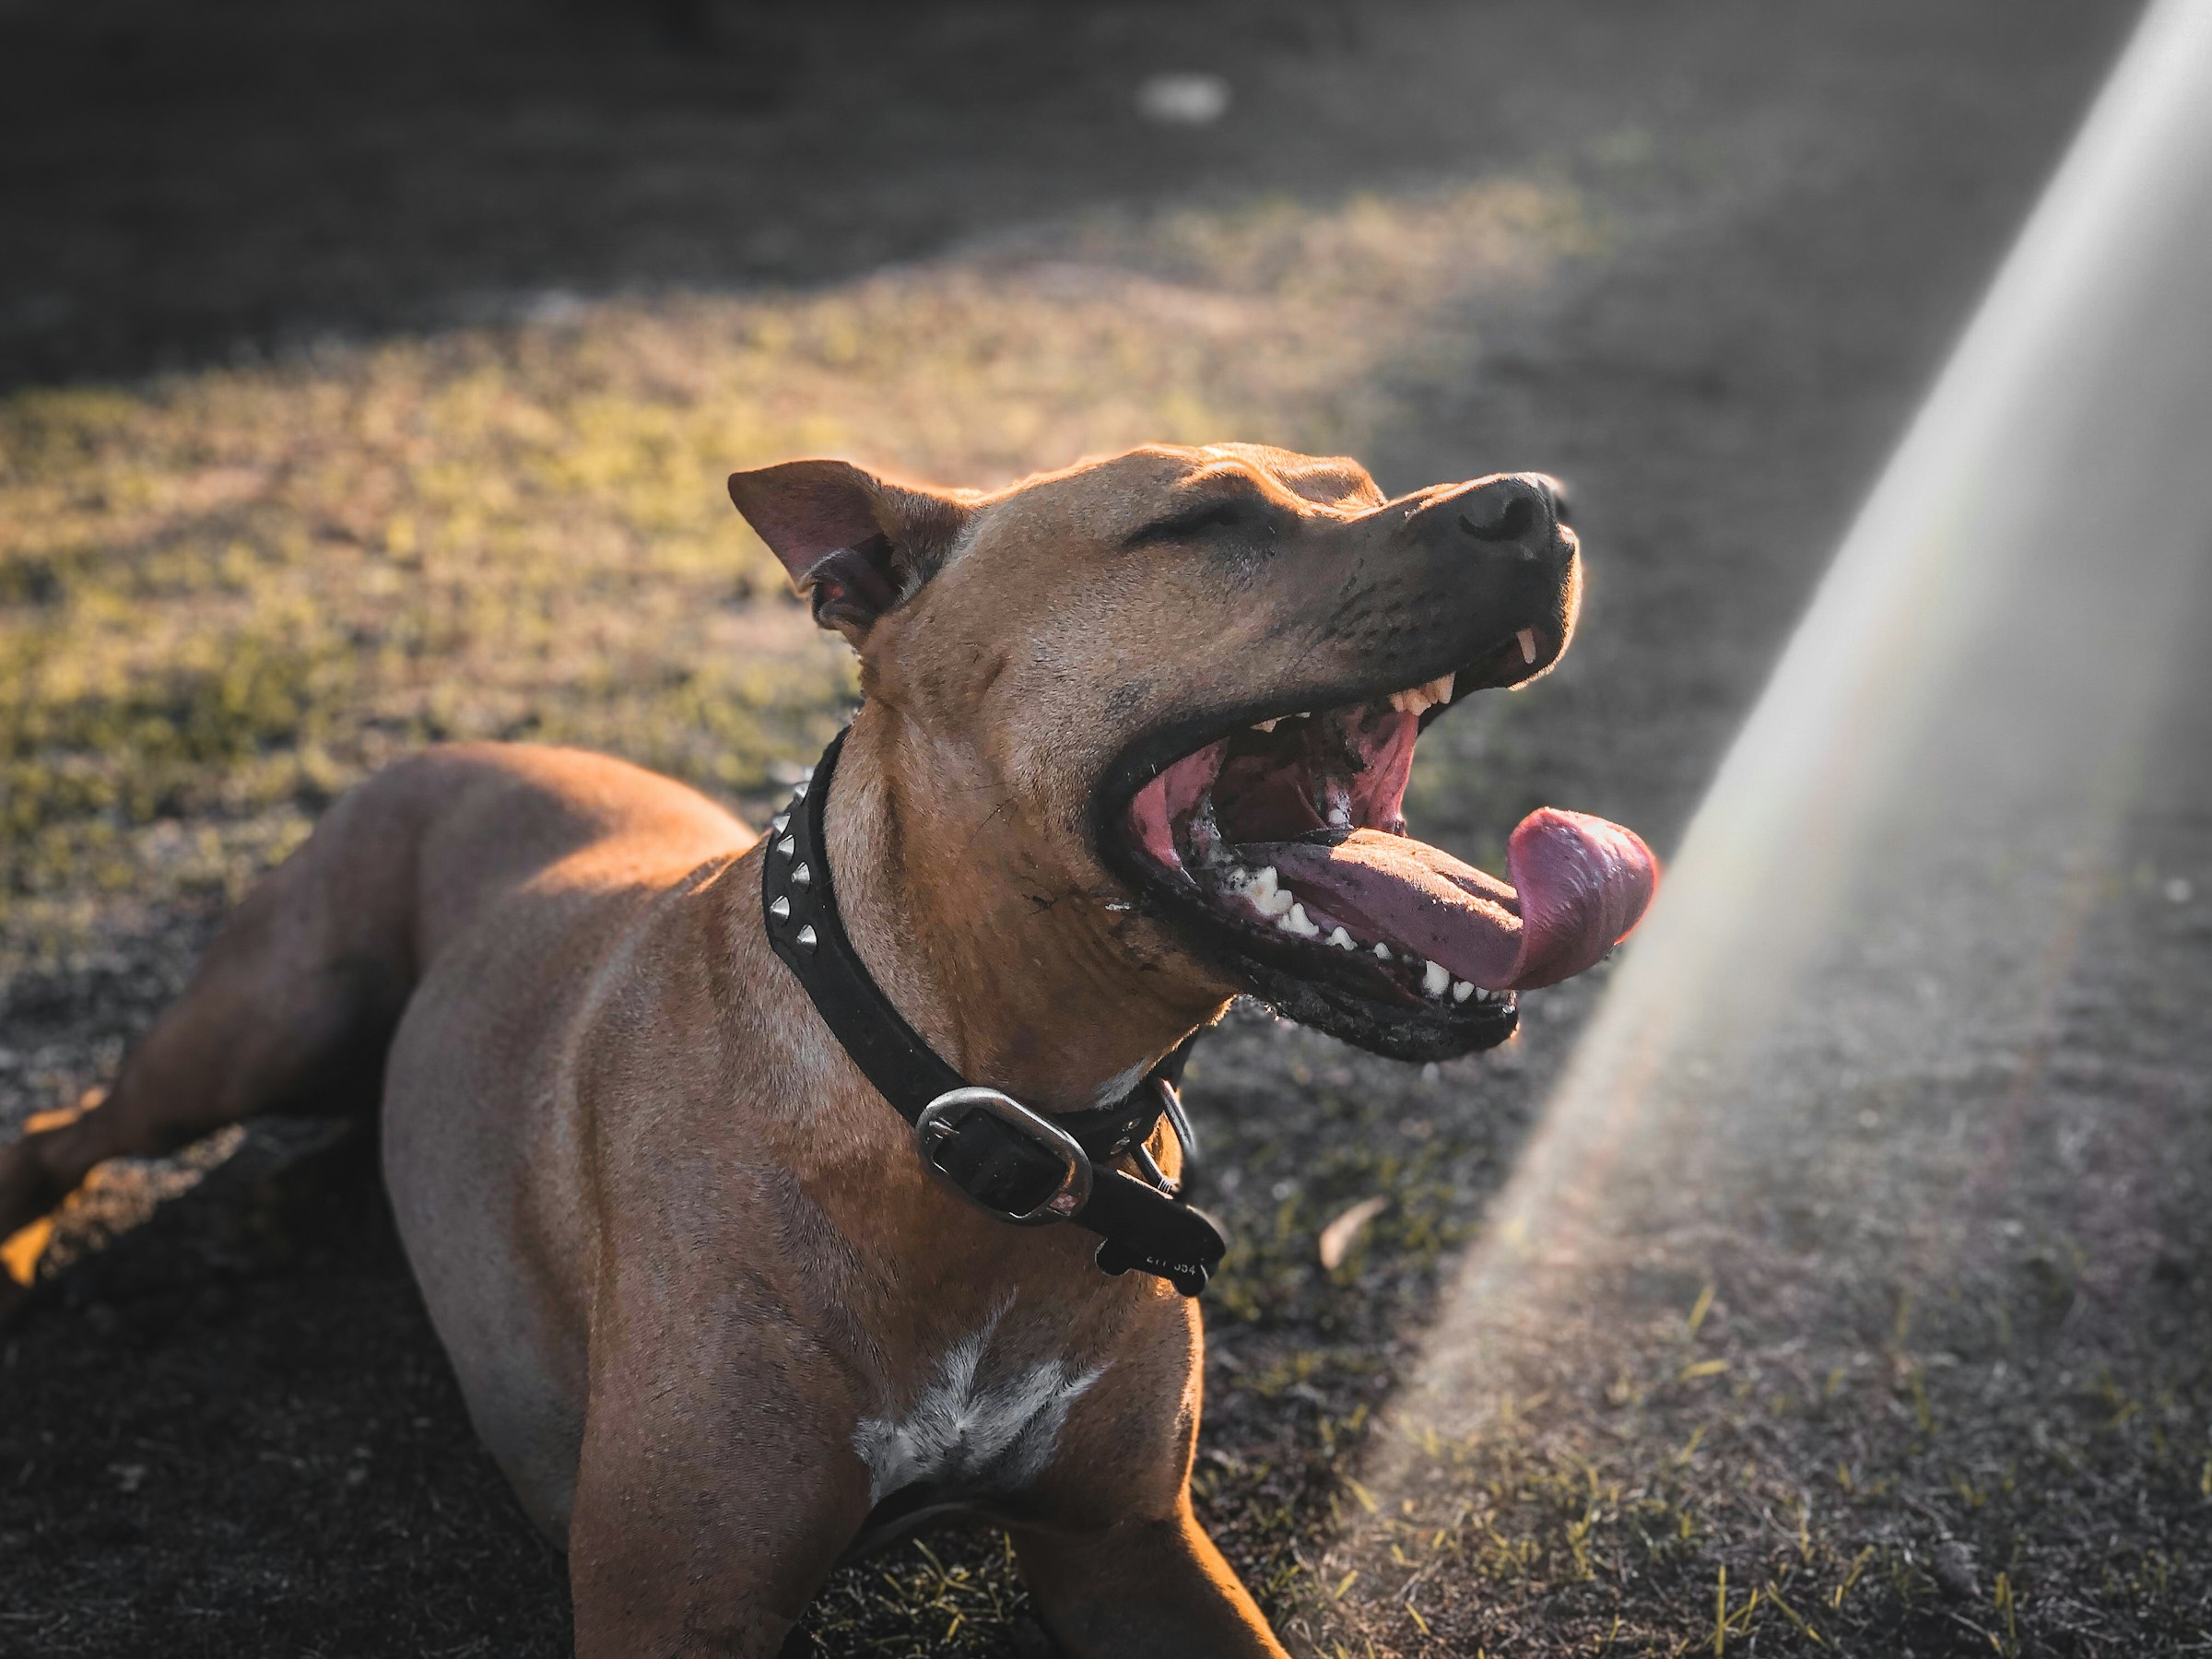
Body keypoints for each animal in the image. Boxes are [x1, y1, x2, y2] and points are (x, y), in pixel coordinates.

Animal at [0, 449, 1654, 1654]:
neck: (969, 1104)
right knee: (72, 1127)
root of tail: (466, 738)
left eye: (1359, 482)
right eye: (1209, 519)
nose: (1542, 503)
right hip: (261, 1026)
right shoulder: (679, 1608)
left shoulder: (1133, 1546)